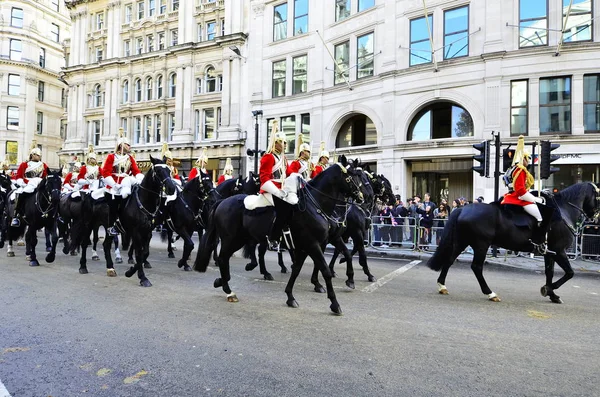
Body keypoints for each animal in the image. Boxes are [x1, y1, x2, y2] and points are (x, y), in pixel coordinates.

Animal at [193, 162, 360, 314]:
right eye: (351, 177)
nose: (361, 197)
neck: (315, 206)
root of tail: (222, 201)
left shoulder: (306, 246)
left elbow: (297, 269)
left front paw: (290, 297)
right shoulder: (313, 245)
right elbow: (324, 271)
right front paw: (334, 303)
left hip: (240, 239)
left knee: (227, 258)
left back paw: (223, 282)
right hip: (232, 240)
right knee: (223, 258)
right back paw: (229, 290)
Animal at [426, 183, 600, 304]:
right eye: (598, 196)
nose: (595, 217)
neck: (563, 211)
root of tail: (462, 209)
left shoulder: (549, 252)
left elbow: (549, 273)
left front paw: (552, 294)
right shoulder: (559, 250)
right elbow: (569, 273)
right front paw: (549, 289)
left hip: (463, 241)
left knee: (449, 260)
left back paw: (442, 286)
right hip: (481, 244)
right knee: (476, 267)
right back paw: (490, 293)